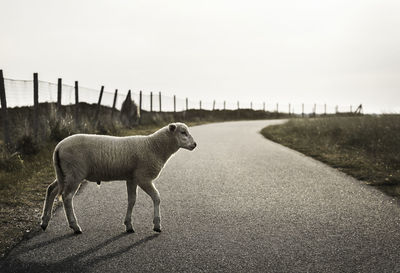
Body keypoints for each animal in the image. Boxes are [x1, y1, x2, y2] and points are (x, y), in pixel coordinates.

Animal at [40, 122, 197, 233]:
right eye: (183, 132)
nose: (195, 145)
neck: (154, 146)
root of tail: (58, 147)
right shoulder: (143, 177)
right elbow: (157, 197)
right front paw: (157, 224)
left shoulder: (132, 178)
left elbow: (132, 200)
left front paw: (129, 225)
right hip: (75, 173)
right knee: (67, 197)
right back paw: (75, 226)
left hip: (64, 174)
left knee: (51, 190)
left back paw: (44, 222)